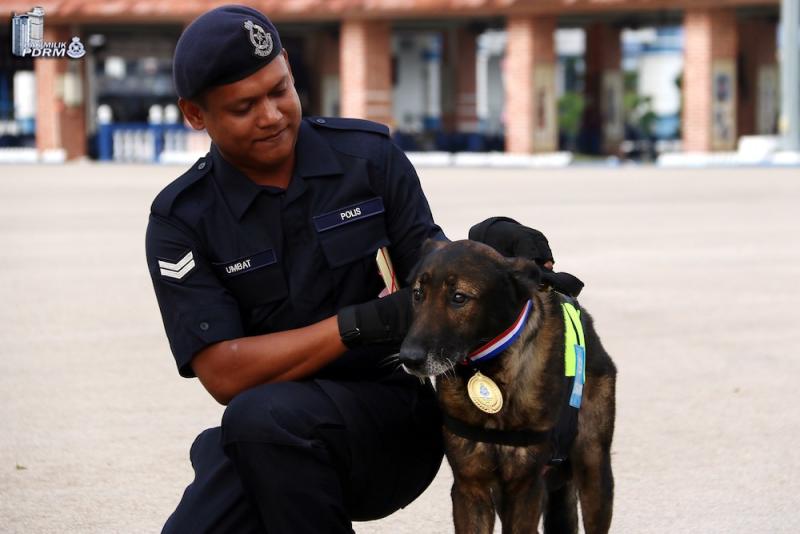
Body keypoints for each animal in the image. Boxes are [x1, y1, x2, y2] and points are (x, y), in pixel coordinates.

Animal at [400, 243, 620, 534]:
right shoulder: (471, 487)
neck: (489, 370)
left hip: (594, 470)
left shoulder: (525, 488)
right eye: (418, 294)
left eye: (459, 297)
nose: (408, 358)